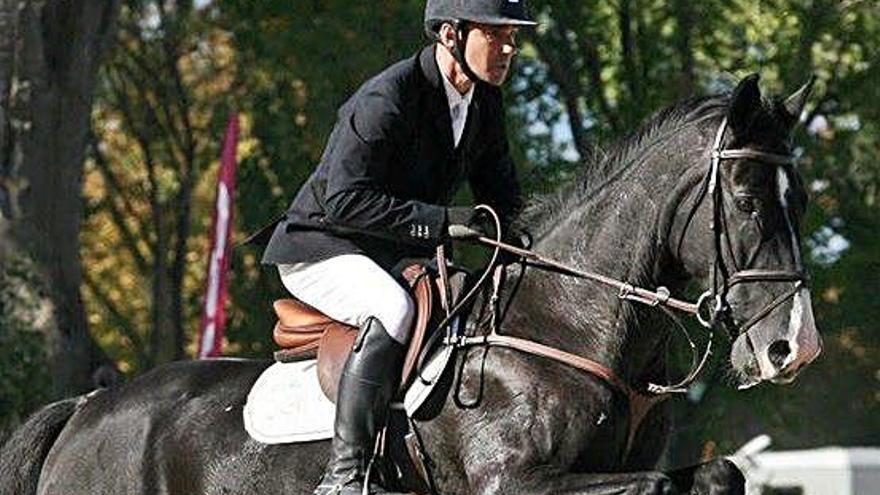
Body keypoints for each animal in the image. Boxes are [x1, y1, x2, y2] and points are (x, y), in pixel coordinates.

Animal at [0, 74, 820, 495]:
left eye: (802, 199)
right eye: (746, 199)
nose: (794, 347)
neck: (567, 327)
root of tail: (85, 410)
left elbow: (716, 472)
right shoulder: (513, 486)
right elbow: (653, 486)